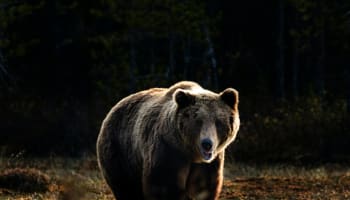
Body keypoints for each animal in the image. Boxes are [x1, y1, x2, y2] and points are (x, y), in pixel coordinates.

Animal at [96, 80, 241, 199]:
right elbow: (165, 186)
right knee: (125, 187)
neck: (190, 153)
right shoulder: (167, 150)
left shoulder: (209, 163)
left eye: (218, 122)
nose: (207, 144)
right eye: (198, 121)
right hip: (120, 150)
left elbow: (202, 188)